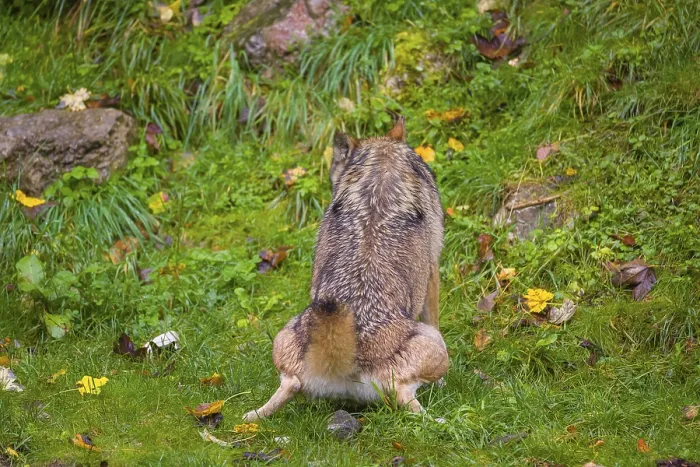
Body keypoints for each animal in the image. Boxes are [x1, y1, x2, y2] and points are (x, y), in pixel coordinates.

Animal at [243, 117, 447, 421]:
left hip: (284, 337)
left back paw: (252, 416)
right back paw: (441, 421)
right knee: (406, 398)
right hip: (435, 345)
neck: (381, 159)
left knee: (287, 387)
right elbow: (433, 314)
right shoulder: (433, 269)